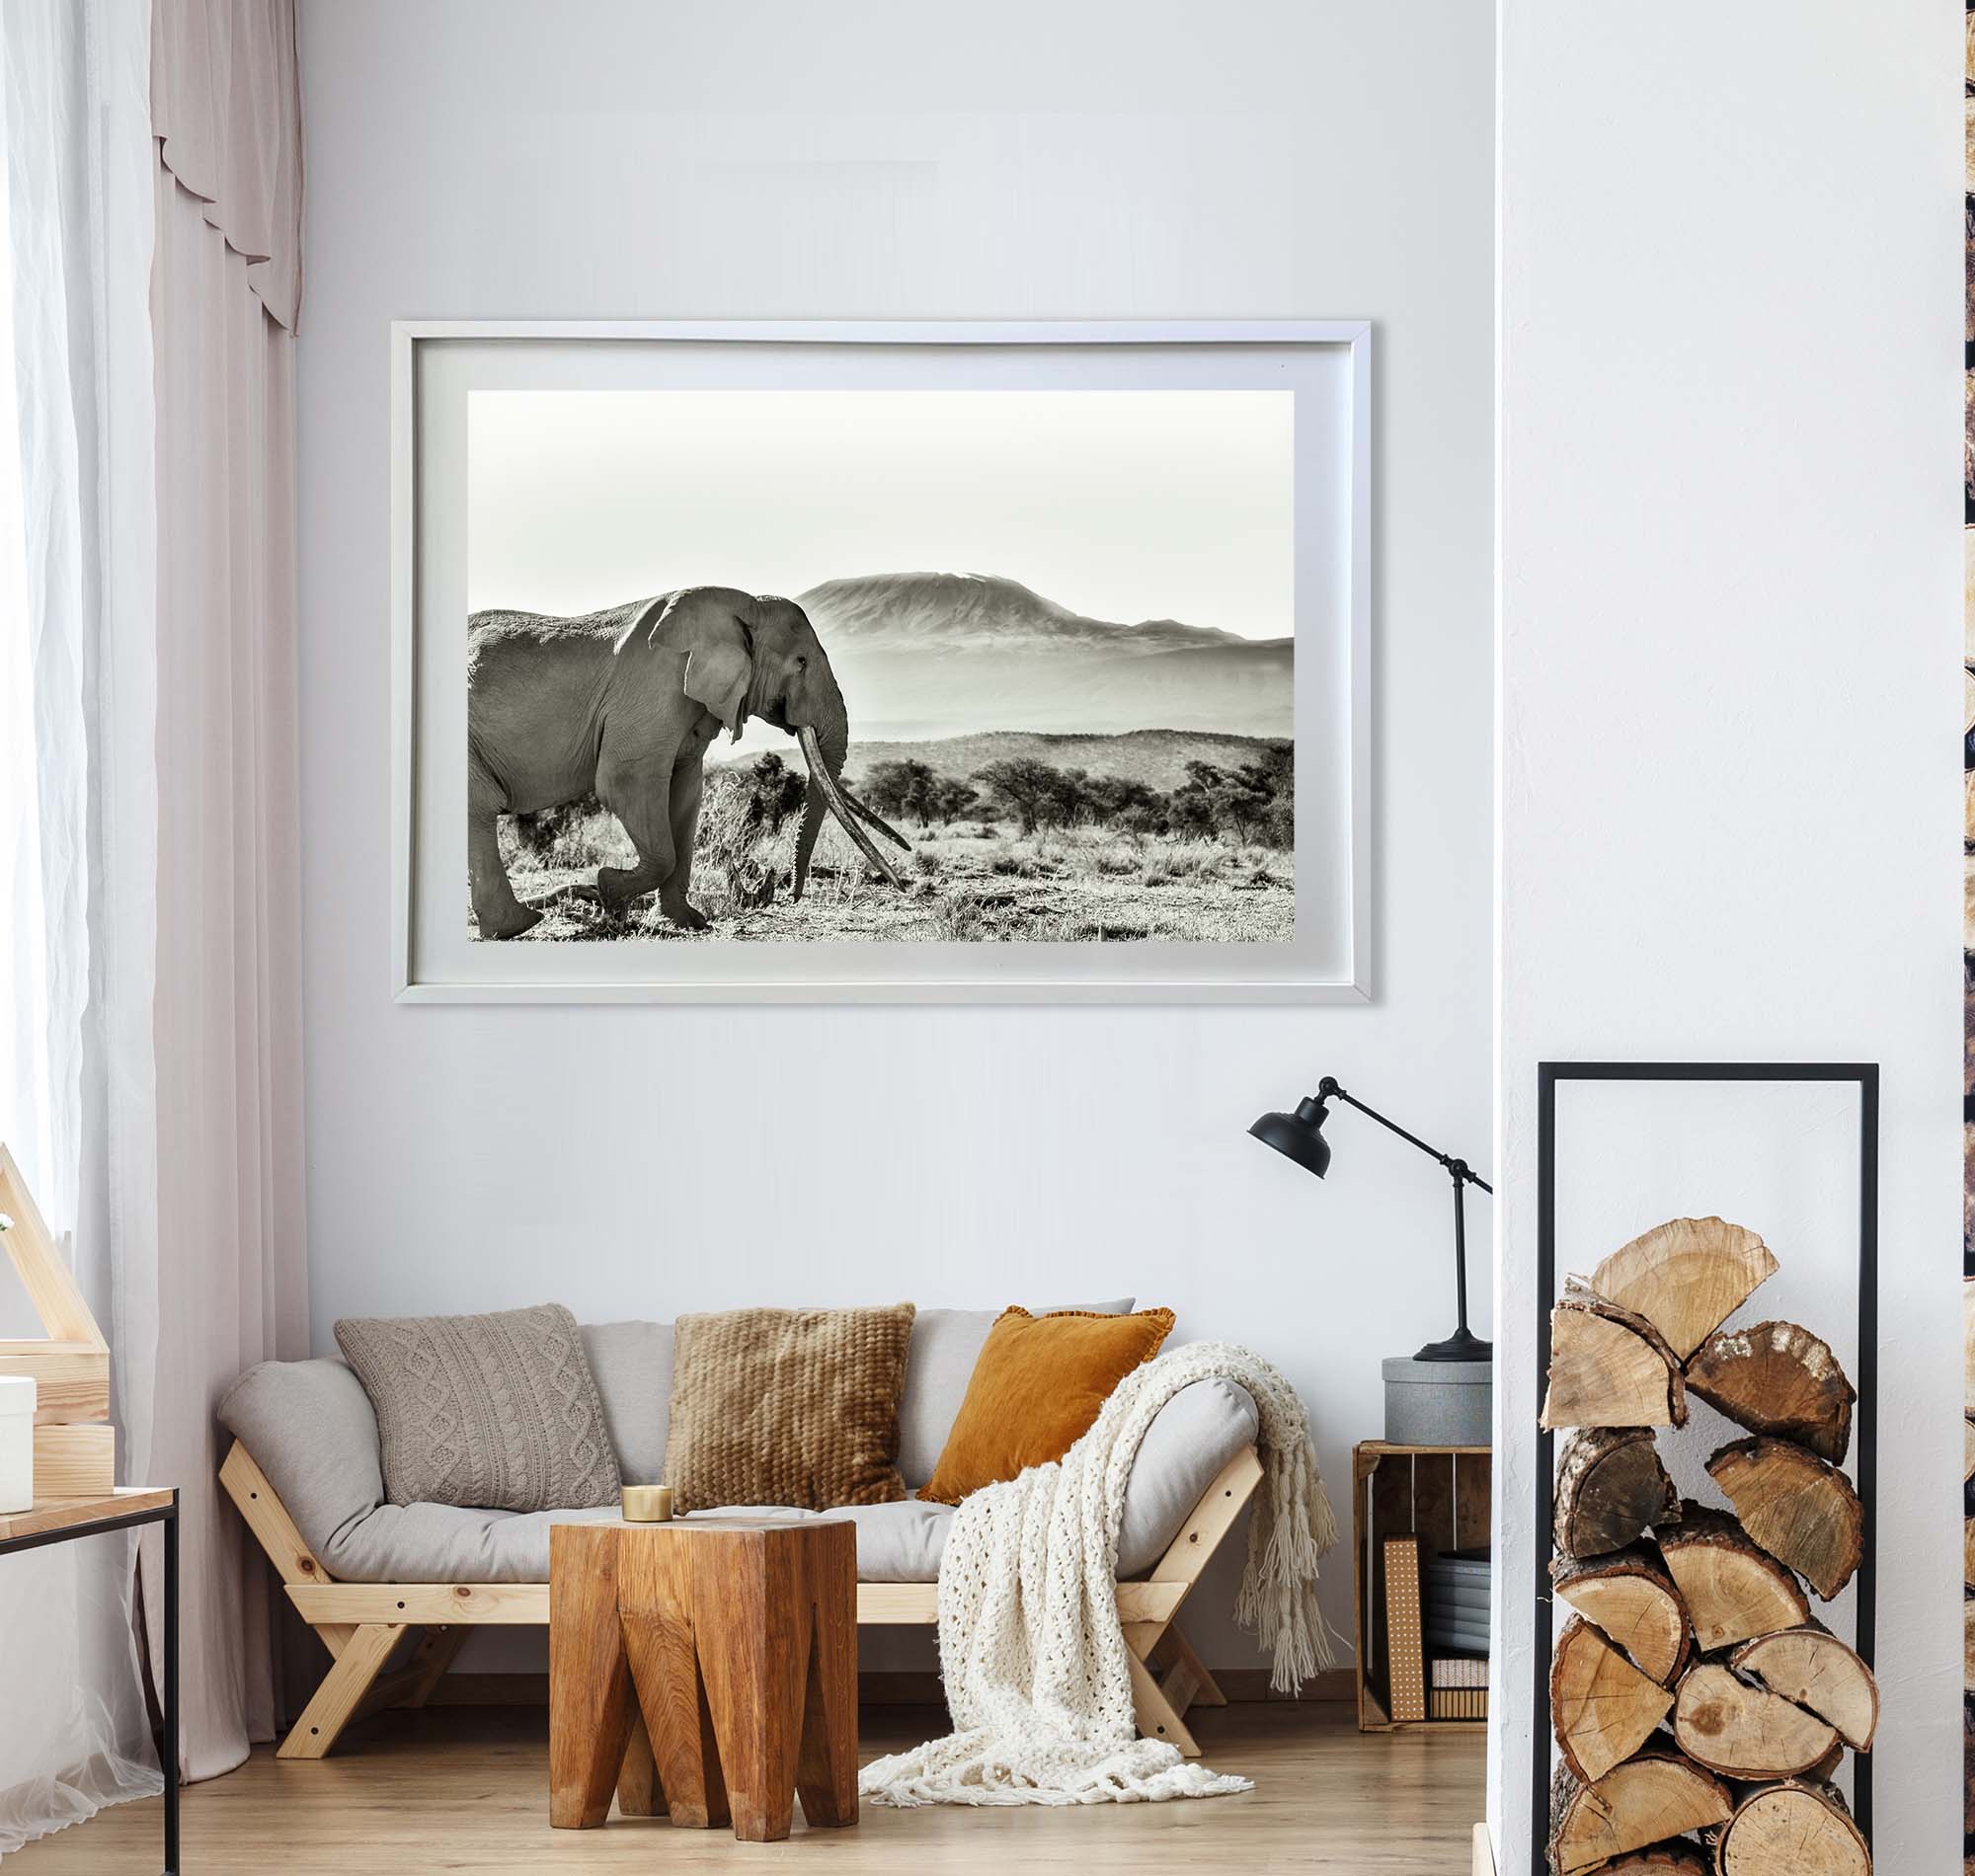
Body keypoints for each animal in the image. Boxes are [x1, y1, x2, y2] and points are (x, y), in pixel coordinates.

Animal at [465, 586, 909, 939]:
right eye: (801, 662)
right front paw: (609, 889)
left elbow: (685, 793)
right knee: (481, 808)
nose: (792, 895)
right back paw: (519, 926)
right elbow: (626, 782)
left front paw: (688, 922)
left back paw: (512, 925)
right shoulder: (653, 691)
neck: (742, 605)